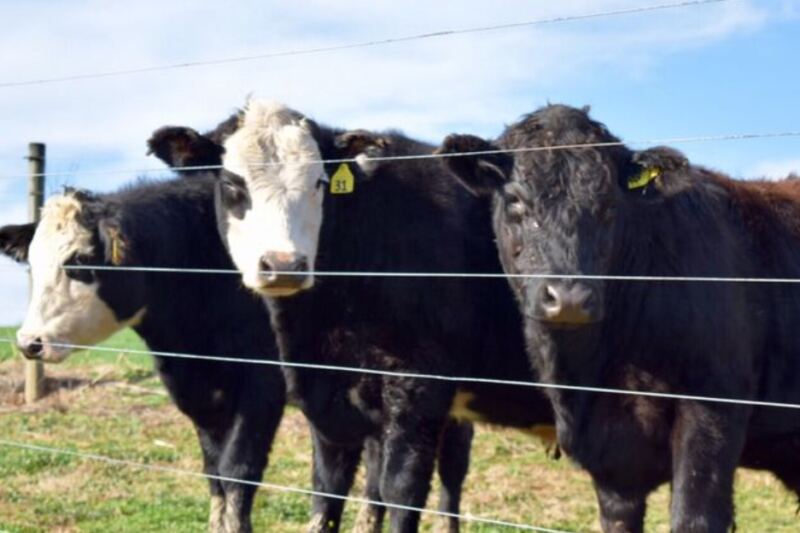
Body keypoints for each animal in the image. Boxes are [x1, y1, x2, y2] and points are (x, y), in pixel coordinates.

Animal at [152, 99, 556, 533]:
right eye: (231, 184)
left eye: (319, 182)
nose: (284, 264)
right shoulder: (327, 400)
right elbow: (327, 492)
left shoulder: (419, 389)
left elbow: (400, 492)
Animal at [438, 103, 800, 532]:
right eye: (515, 202)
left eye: (609, 206)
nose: (570, 298)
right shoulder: (612, 466)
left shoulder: (714, 408)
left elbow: (693, 515)